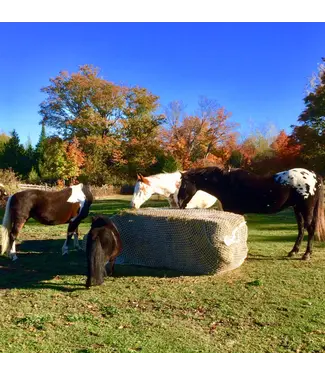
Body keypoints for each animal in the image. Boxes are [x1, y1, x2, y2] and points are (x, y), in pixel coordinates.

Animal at [177, 167, 324, 262]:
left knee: (310, 229)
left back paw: (306, 254)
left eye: (183, 185)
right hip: (297, 209)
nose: (179, 203)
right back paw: (293, 251)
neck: (226, 183)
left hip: (306, 208)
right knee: (301, 229)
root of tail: (315, 176)